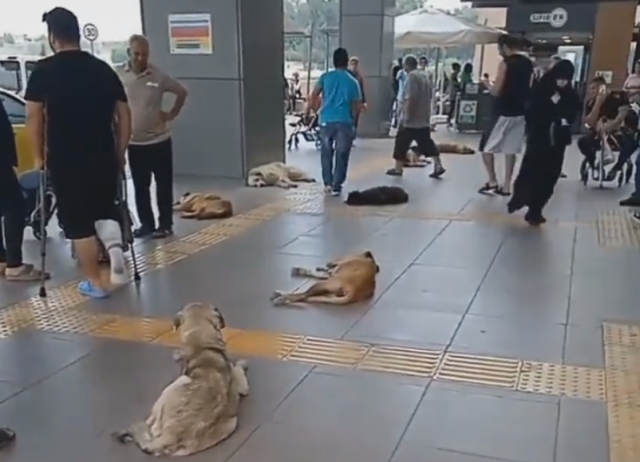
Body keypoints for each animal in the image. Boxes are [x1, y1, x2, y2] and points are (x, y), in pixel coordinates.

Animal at [112, 302, 248, 456]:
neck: (201, 342)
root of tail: (170, 436)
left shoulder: (242, 386)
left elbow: (238, 369)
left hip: (176, 384)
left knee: (151, 421)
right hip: (231, 423)